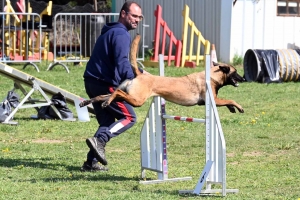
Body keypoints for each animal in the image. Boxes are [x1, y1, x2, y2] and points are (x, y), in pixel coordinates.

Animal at [79, 34, 244, 112]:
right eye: (236, 72)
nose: (243, 79)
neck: (212, 75)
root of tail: (140, 74)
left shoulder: (213, 101)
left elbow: (228, 101)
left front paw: (232, 108)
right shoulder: (213, 100)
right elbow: (230, 100)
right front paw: (239, 107)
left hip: (128, 94)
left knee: (104, 94)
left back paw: (88, 102)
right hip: (137, 99)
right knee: (117, 93)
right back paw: (105, 102)